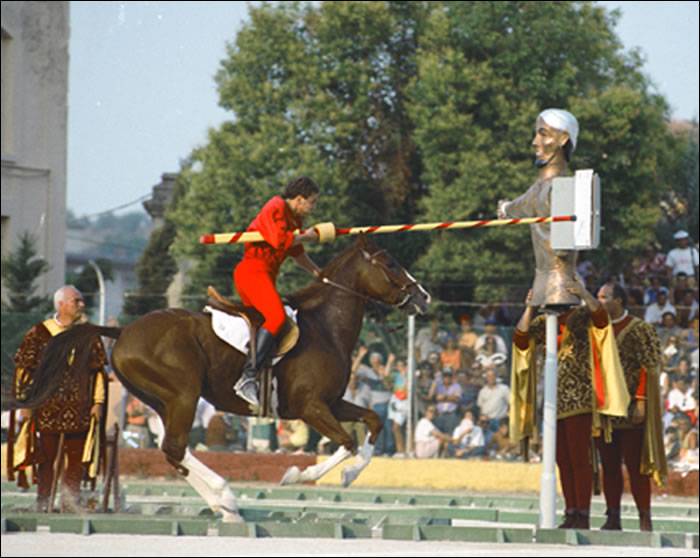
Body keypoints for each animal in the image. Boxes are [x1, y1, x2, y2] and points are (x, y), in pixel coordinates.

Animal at [20, 234, 426, 524]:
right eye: (390, 263)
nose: (423, 296)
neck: (325, 326)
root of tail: (122, 331)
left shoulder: (333, 402)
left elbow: (371, 424)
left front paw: (350, 476)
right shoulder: (311, 407)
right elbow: (346, 442)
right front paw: (297, 475)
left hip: (163, 400)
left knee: (174, 450)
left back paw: (223, 504)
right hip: (183, 394)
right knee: (174, 447)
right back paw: (226, 496)